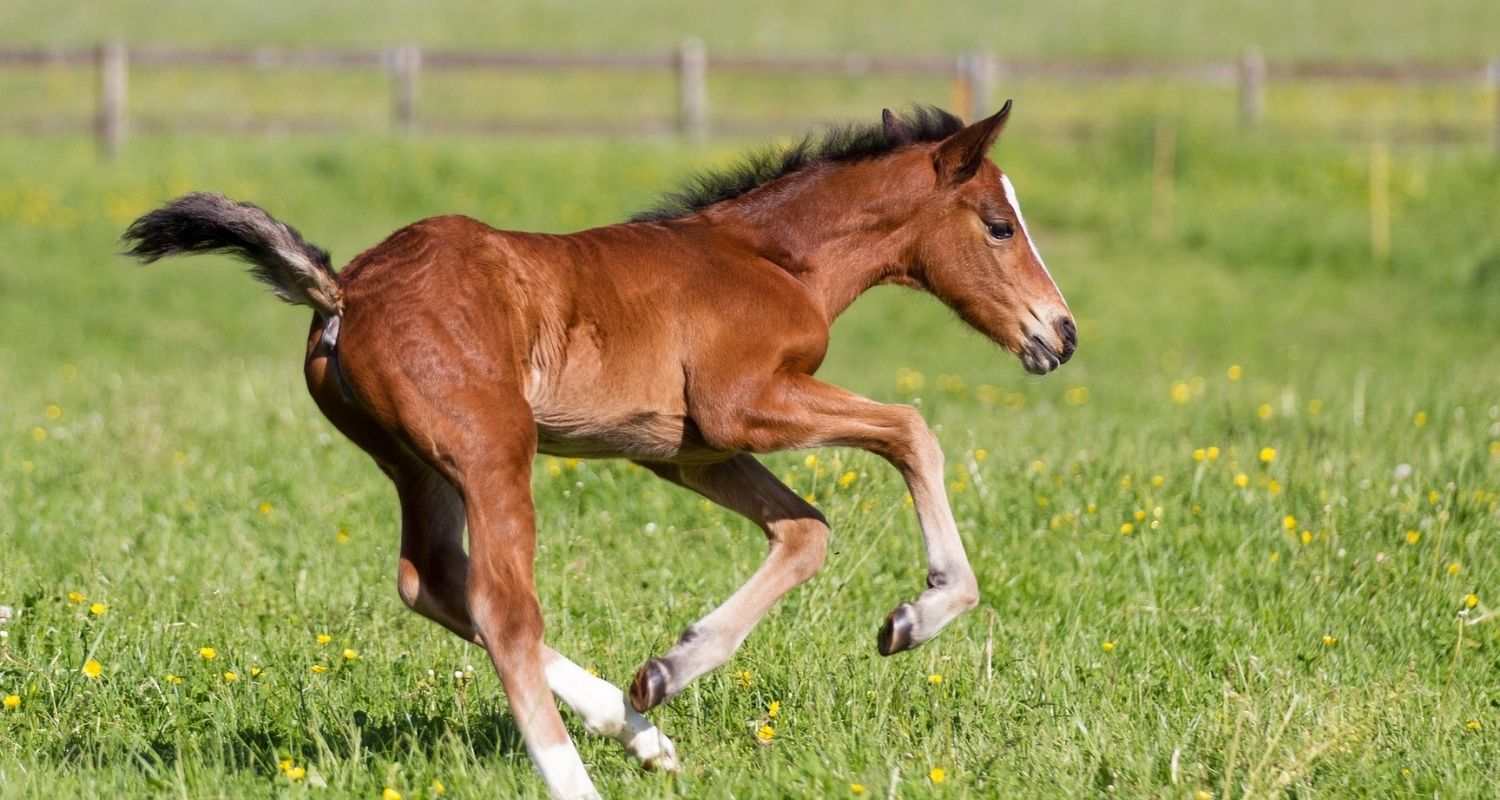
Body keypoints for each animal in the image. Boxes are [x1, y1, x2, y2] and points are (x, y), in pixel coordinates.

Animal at [123, 102, 1074, 792]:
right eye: (999, 224)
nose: (1059, 335)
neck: (771, 258)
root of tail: (343, 291)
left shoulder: (684, 450)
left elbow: (805, 531)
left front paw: (667, 671)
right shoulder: (744, 407)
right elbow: (913, 431)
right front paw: (922, 613)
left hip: (417, 464)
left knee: (432, 579)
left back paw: (638, 729)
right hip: (492, 450)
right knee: (501, 605)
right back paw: (578, 774)